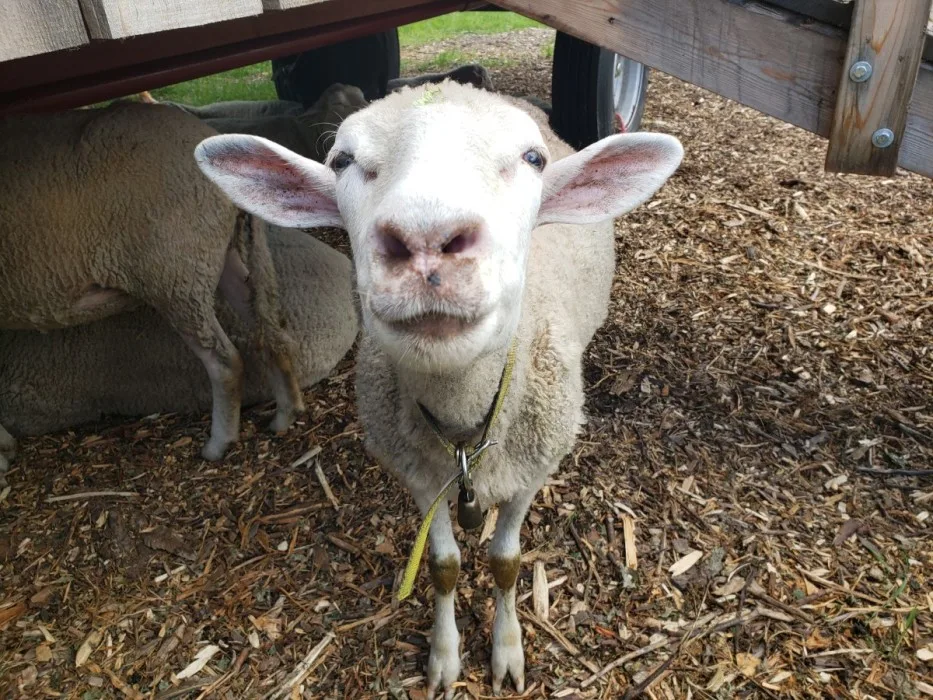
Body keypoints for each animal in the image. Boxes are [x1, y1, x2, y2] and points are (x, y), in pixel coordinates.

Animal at [0, 101, 302, 468]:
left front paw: (2, 456)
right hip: (217, 256)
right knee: (272, 331)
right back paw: (286, 414)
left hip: (174, 271)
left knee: (225, 361)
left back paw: (218, 444)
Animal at [197, 83, 680, 700]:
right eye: (341, 160)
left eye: (533, 159)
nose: (426, 239)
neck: (465, 426)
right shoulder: (418, 475)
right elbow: (444, 566)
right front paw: (446, 658)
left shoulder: (533, 470)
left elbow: (507, 562)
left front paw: (506, 650)